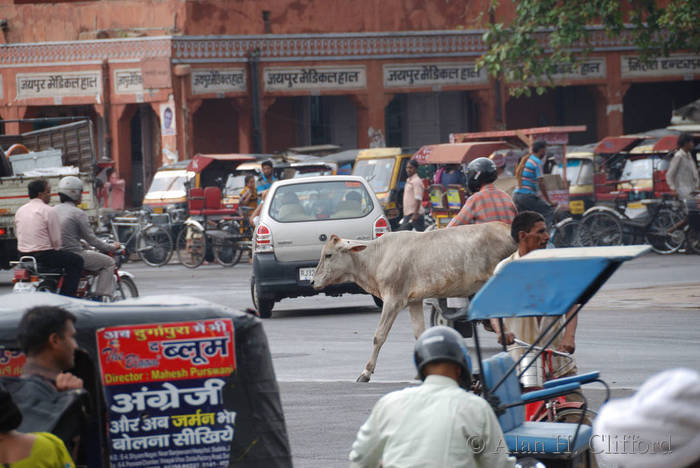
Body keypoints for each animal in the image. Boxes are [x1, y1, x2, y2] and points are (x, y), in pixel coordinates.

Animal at [310, 221, 516, 382]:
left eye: (328, 255)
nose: (312, 282)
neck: (376, 258)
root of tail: (507, 228)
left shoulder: (393, 300)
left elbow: (379, 336)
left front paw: (366, 372)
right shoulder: (414, 301)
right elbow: (420, 334)